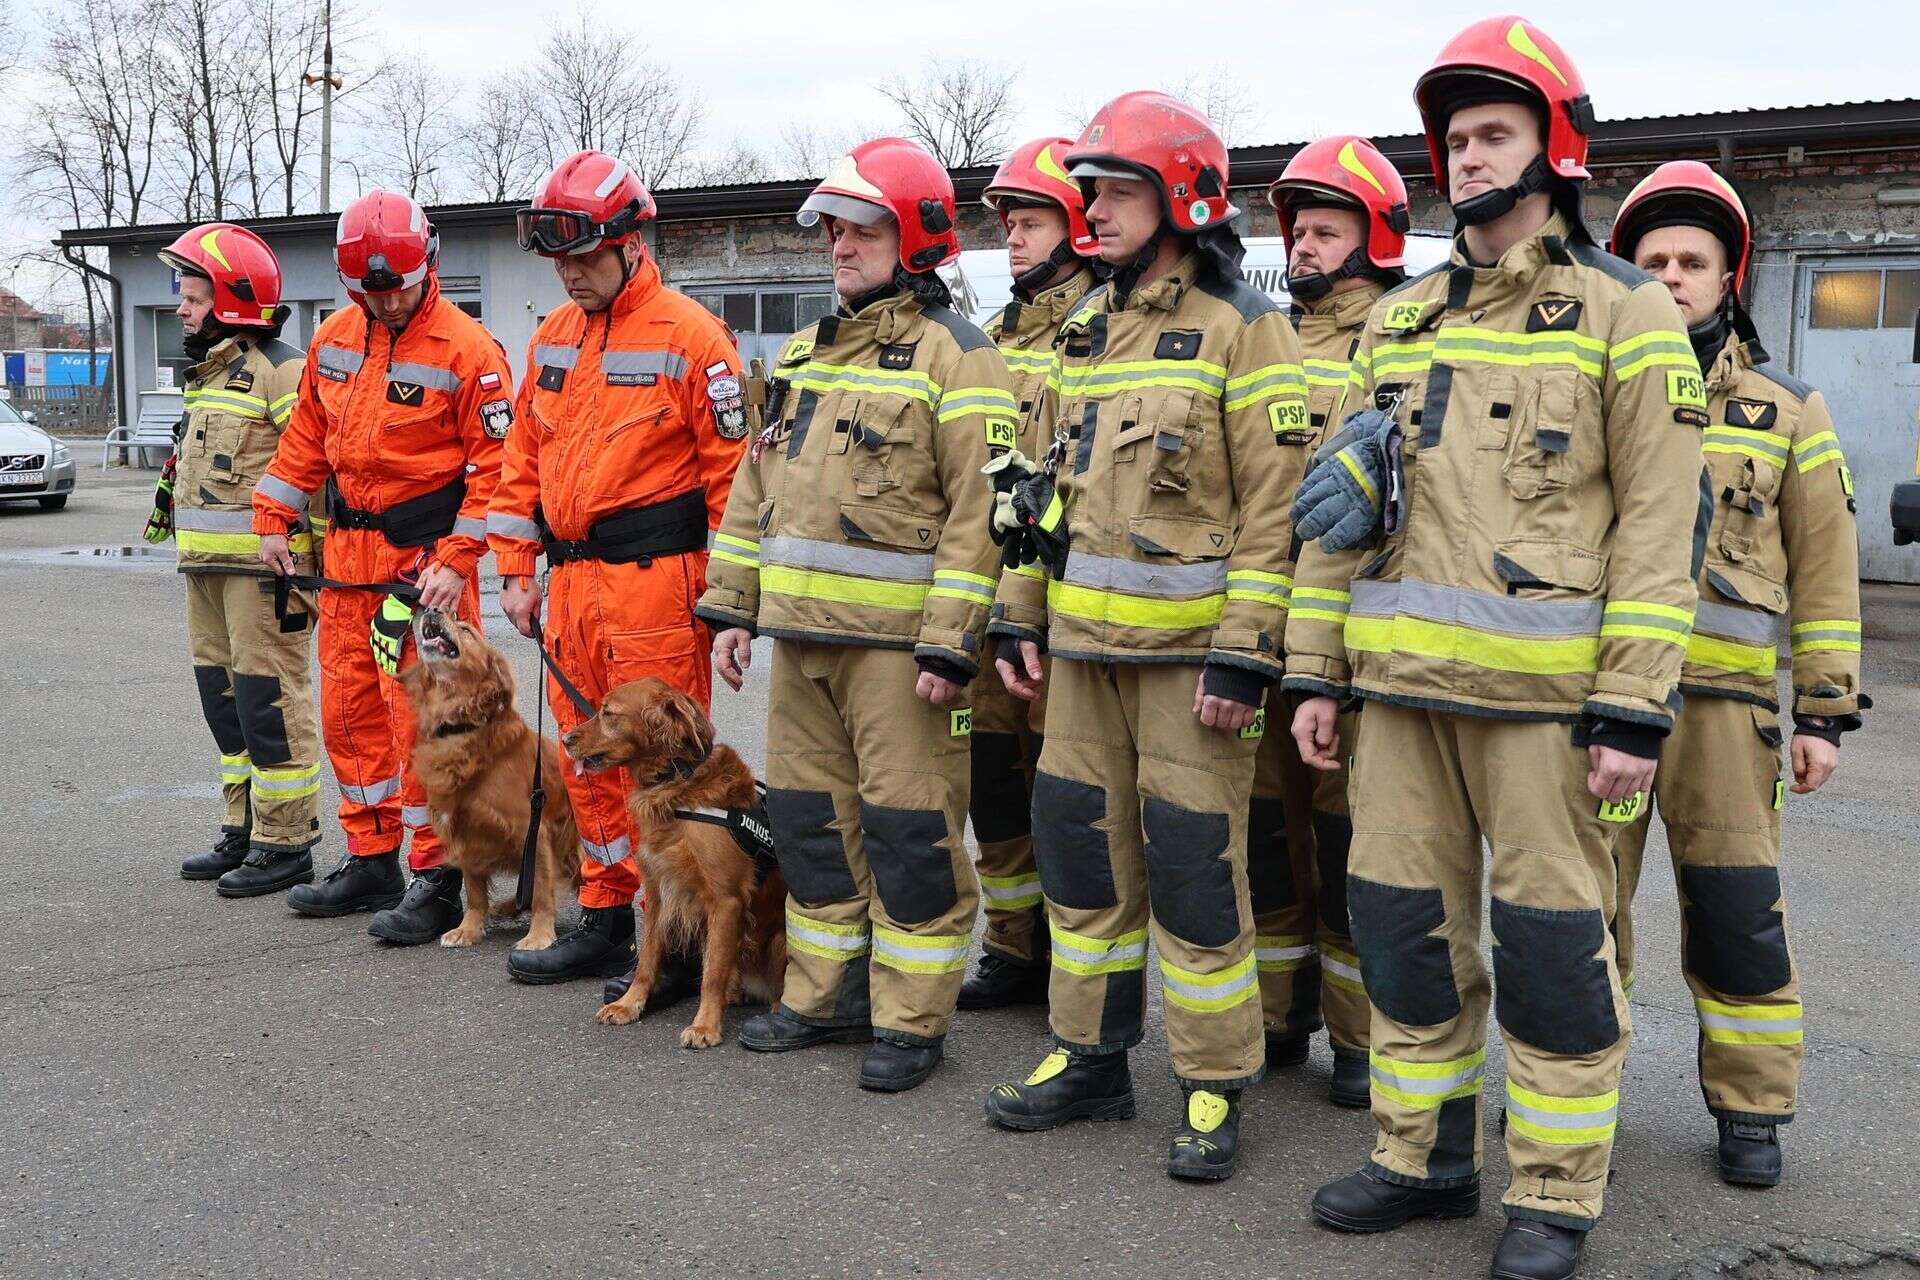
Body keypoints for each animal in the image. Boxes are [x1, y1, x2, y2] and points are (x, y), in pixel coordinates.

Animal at [399, 610, 579, 951]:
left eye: (466, 630)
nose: (432, 610)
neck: (460, 727)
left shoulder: (533, 827)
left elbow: (541, 889)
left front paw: (539, 934)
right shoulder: (465, 830)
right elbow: (474, 891)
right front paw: (468, 929)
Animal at [560, 679, 787, 1051]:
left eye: (608, 713)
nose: (566, 739)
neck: (675, 784)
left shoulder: (726, 900)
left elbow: (711, 973)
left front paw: (705, 1025)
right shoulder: (657, 892)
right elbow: (647, 959)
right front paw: (629, 1004)